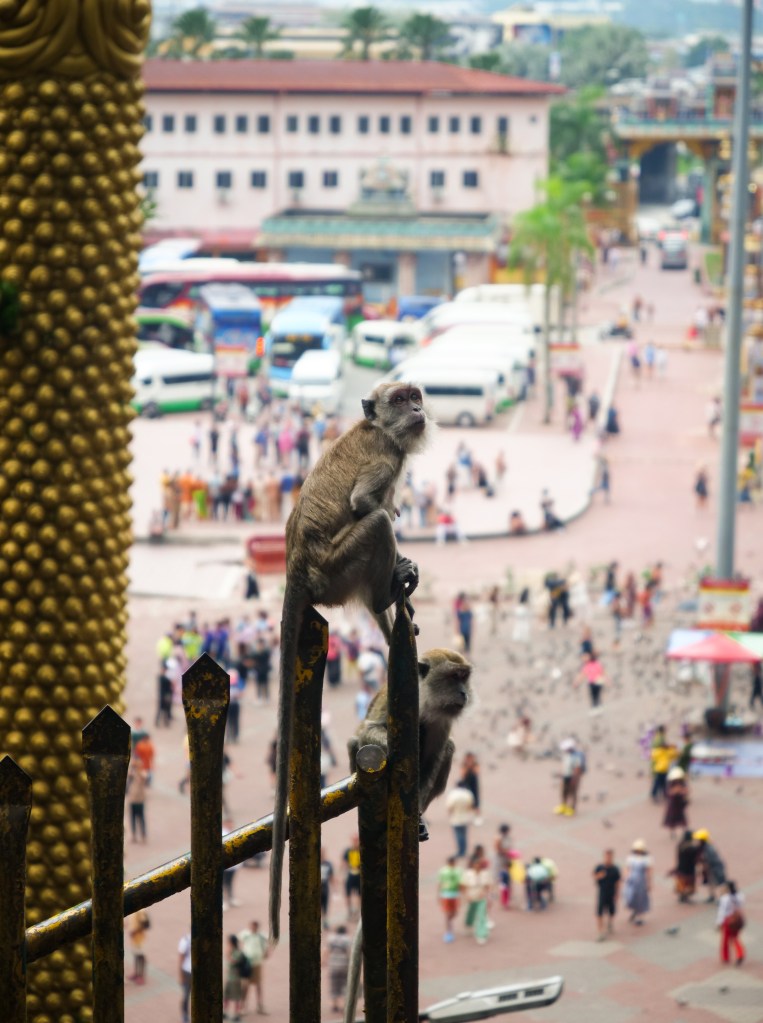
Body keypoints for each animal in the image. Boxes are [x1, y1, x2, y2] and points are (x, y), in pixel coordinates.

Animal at [269, 382, 433, 945]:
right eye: (401, 399)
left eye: (416, 396)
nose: (417, 409)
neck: (378, 430)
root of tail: (296, 565)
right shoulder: (386, 457)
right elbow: (366, 505)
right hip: (334, 569)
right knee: (376, 522)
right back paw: (389, 591)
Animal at [343, 648, 474, 1023]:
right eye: (455, 677)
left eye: (465, 677)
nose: (465, 694)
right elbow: (366, 735)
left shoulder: (442, 721)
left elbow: (437, 753)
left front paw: (415, 817)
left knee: (447, 751)